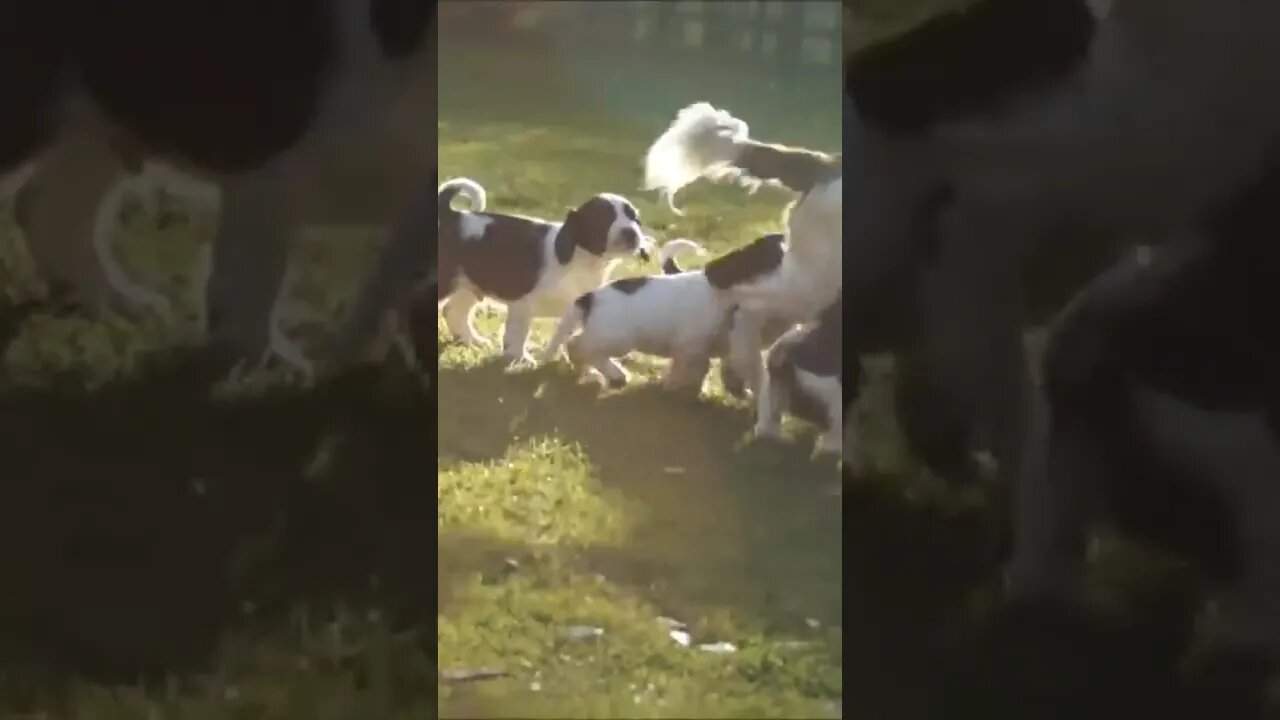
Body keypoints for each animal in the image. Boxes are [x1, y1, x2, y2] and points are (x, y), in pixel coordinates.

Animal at [437, 174, 655, 363]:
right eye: (603, 218)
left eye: (635, 219)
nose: (631, 232)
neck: (585, 261)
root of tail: (452, 215)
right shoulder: (521, 304)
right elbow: (518, 334)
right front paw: (521, 360)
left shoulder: (576, 308)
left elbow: (566, 335)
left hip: (470, 283)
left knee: (454, 311)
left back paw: (472, 341)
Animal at [545, 234, 793, 392]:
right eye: (775, 259)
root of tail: (589, 298)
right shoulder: (689, 344)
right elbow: (685, 367)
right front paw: (673, 386)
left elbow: (707, 368)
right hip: (618, 339)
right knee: (580, 346)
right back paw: (615, 374)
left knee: (577, 346)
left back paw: (587, 370)